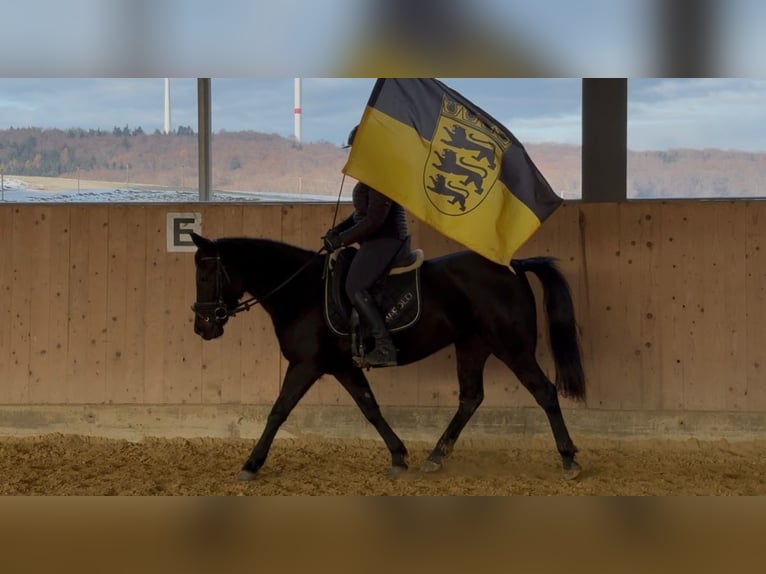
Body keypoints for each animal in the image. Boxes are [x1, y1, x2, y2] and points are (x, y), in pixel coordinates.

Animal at [189, 232, 586, 481]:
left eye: (206, 275)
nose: (203, 327)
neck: (302, 291)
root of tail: (514, 264)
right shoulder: (342, 367)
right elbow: (370, 408)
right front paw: (398, 456)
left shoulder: (306, 365)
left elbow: (278, 411)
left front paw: (251, 464)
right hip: (473, 346)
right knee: (471, 398)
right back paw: (435, 457)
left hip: (512, 348)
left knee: (545, 392)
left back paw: (568, 459)